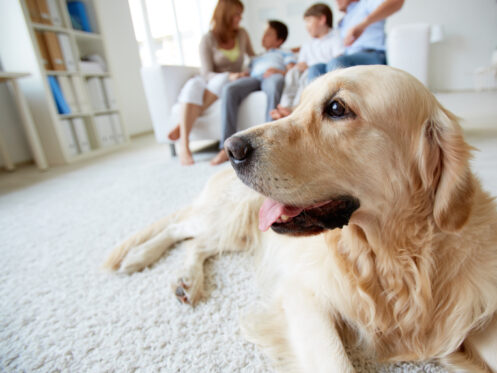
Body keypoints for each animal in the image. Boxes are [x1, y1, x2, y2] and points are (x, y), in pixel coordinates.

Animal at [104, 65, 496, 370]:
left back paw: (186, 281)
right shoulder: (304, 295)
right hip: (232, 216)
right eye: (298, 105)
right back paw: (142, 257)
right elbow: (336, 362)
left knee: (198, 243)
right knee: (180, 228)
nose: (230, 148)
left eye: (336, 107)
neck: (391, 258)